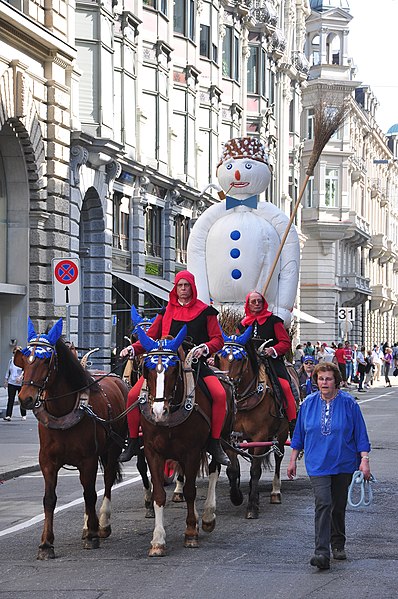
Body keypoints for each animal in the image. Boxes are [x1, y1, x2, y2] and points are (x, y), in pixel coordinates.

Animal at [14, 322, 127, 560]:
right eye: (25, 358)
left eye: (46, 360)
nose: (25, 398)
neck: (63, 410)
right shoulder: (47, 462)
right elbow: (49, 499)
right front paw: (46, 544)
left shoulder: (88, 460)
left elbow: (90, 494)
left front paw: (93, 534)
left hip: (113, 447)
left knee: (107, 480)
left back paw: (102, 524)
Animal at [135, 324, 233, 556]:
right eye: (147, 370)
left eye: (173, 370)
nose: (158, 411)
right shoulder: (153, 452)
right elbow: (159, 494)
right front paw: (158, 540)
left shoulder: (192, 451)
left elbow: (190, 491)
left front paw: (190, 532)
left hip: (220, 439)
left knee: (215, 468)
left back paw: (207, 516)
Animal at [216, 328, 296, 520]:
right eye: (219, 357)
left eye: (240, 359)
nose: (227, 384)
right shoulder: (230, 437)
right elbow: (233, 469)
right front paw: (237, 496)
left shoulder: (260, 436)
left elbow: (255, 471)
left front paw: (252, 506)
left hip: (281, 434)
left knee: (278, 456)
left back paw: (275, 492)